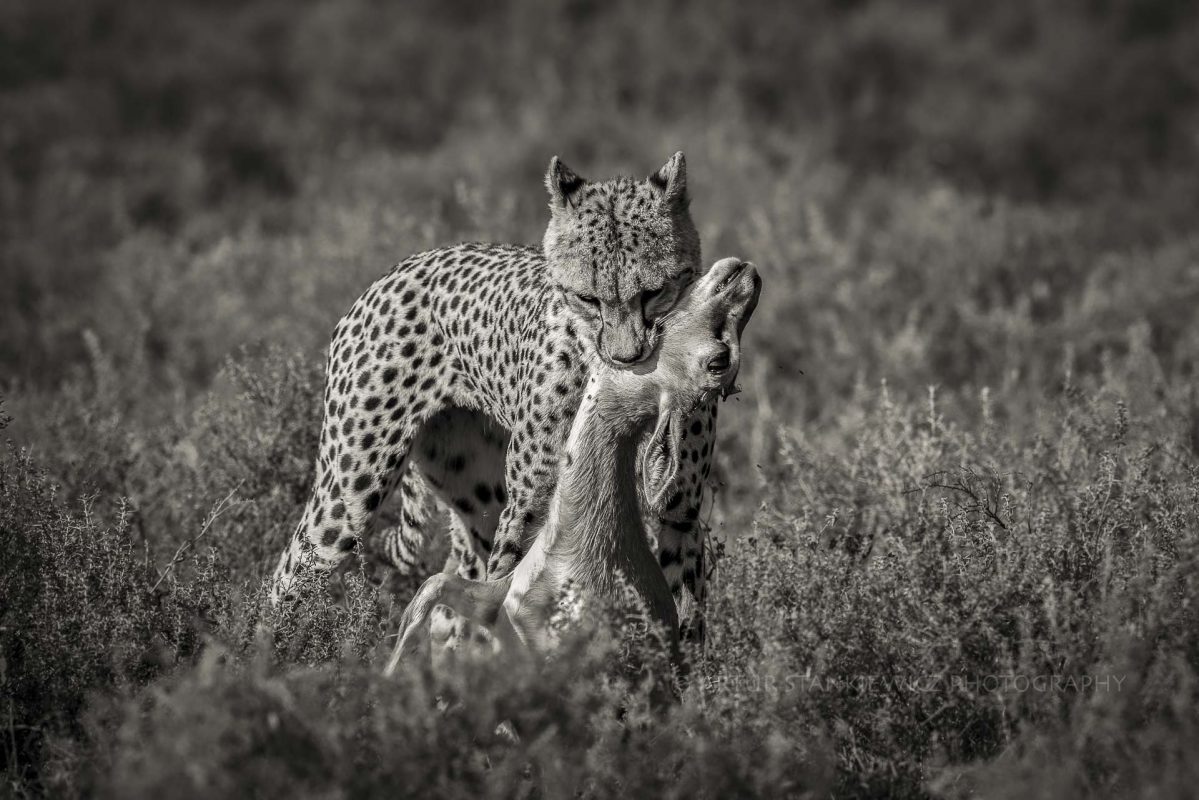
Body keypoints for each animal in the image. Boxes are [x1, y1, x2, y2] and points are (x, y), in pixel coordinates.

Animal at [270, 153, 714, 642]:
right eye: (588, 299)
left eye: (654, 292)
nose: (627, 358)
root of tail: (399, 268)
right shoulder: (531, 506)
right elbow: (509, 591)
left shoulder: (680, 508)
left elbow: (684, 611)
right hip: (352, 488)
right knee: (293, 571)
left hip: (475, 497)